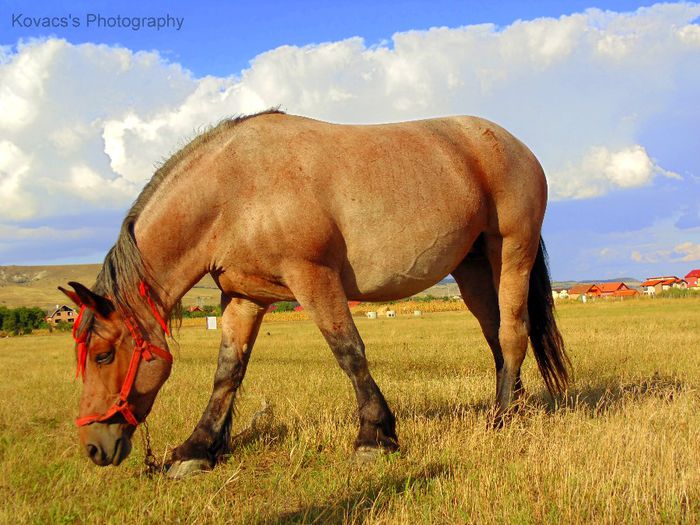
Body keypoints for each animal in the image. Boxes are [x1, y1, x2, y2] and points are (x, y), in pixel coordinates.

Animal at [60, 108, 568, 476]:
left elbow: (349, 352)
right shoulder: (244, 298)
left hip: (511, 251)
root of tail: (515, 146)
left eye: (103, 355)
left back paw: (501, 420)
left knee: (512, 334)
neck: (235, 191)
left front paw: (373, 437)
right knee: (497, 335)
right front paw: (198, 449)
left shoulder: (313, 278)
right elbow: (228, 372)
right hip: (474, 267)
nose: (93, 447)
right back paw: (515, 408)